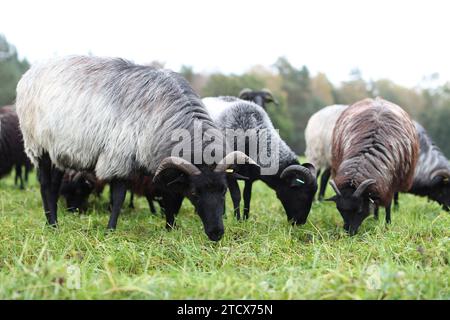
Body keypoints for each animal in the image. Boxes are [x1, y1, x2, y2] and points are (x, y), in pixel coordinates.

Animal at [15, 55, 256, 240]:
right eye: (195, 193)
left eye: (223, 190)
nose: (216, 234)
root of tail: (31, 71)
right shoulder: (119, 157)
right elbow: (119, 197)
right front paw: (110, 230)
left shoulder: (164, 164)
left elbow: (171, 197)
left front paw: (170, 227)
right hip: (38, 146)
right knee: (45, 185)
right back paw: (52, 224)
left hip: (59, 151)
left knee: (54, 185)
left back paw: (54, 221)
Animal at [204, 97, 316, 225]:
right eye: (301, 195)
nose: (300, 223)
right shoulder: (230, 174)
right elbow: (236, 195)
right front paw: (238, 220)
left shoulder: (250, 177)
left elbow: (247, 196)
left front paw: (246, 219)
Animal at [326, 97, 418, 235]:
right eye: (339, 209)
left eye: (359, 210)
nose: (349, 232)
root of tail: (378, 99)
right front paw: (376, 219)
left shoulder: (389, 185)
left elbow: (388, 205)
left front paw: (388, 224)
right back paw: (375, 218)